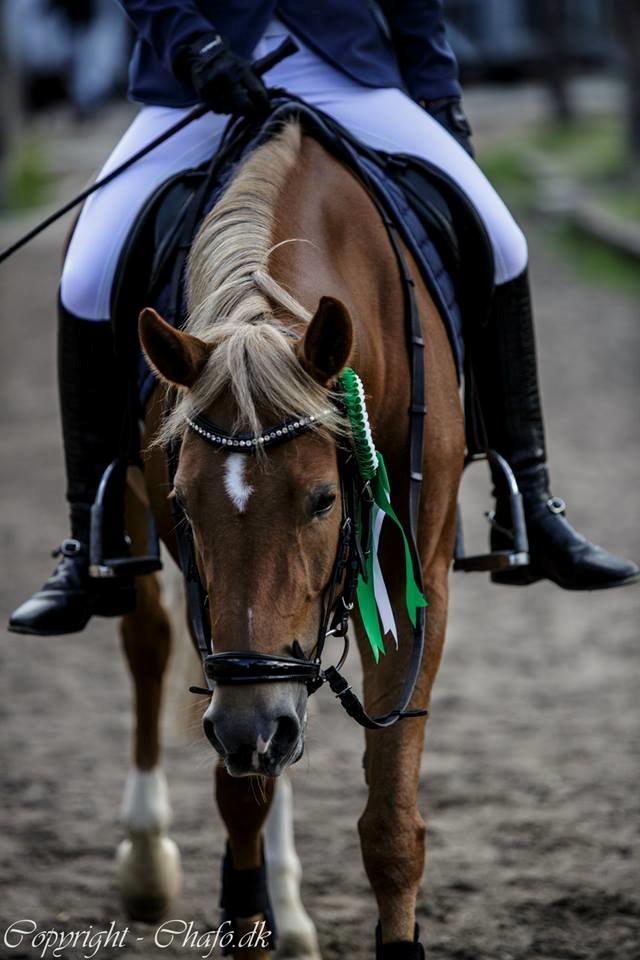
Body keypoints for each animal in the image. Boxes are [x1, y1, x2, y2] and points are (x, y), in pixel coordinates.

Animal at [117, 119, 464, 957]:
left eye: (323, 499)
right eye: (185, 503)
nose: (248, 727)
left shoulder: (414, 577)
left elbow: (391, 827)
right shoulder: (222, 628)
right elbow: (243, 792)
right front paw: (249, 913)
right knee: (148, 643)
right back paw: (147, 853)